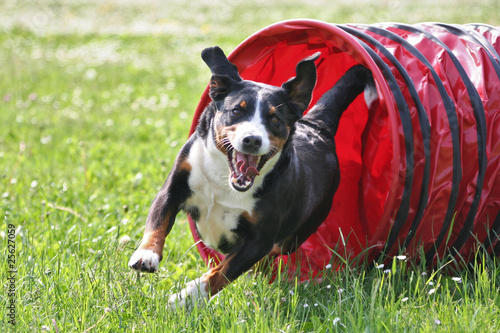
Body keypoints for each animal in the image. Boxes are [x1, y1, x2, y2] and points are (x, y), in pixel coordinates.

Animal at [128, 45, 376, 308]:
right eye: (237, 110)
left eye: (275, 119)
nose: (252, 140)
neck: (224, 181)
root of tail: (317, 127)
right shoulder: (173, 188)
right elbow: (158, 222)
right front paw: (146, 255)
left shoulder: (260, 239)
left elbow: (222, 272)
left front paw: (187, 297)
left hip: (297, 232)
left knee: (272, 254)